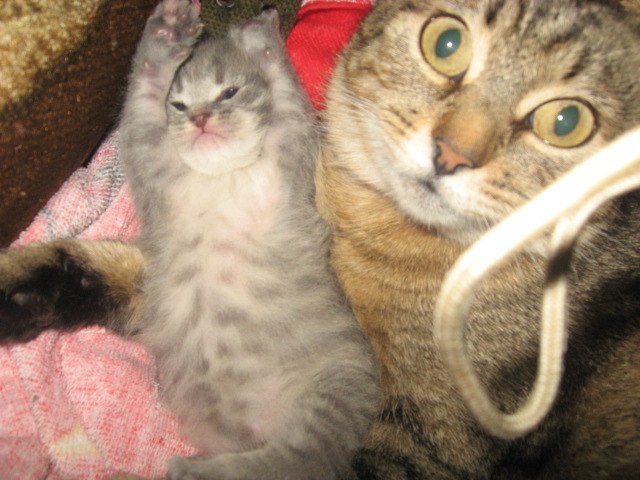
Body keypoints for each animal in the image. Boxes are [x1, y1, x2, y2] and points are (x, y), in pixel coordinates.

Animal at [0, 1, 379, 479]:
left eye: (229, 93)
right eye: (179, 104)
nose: (200, 118)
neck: (220, 178)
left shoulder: (292, 155)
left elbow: (287, 95)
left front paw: (260, 35)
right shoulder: (149, 155)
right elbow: (143, 91)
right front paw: (166, 34)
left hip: (338, 386)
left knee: (299, 458)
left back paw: (197, 470)